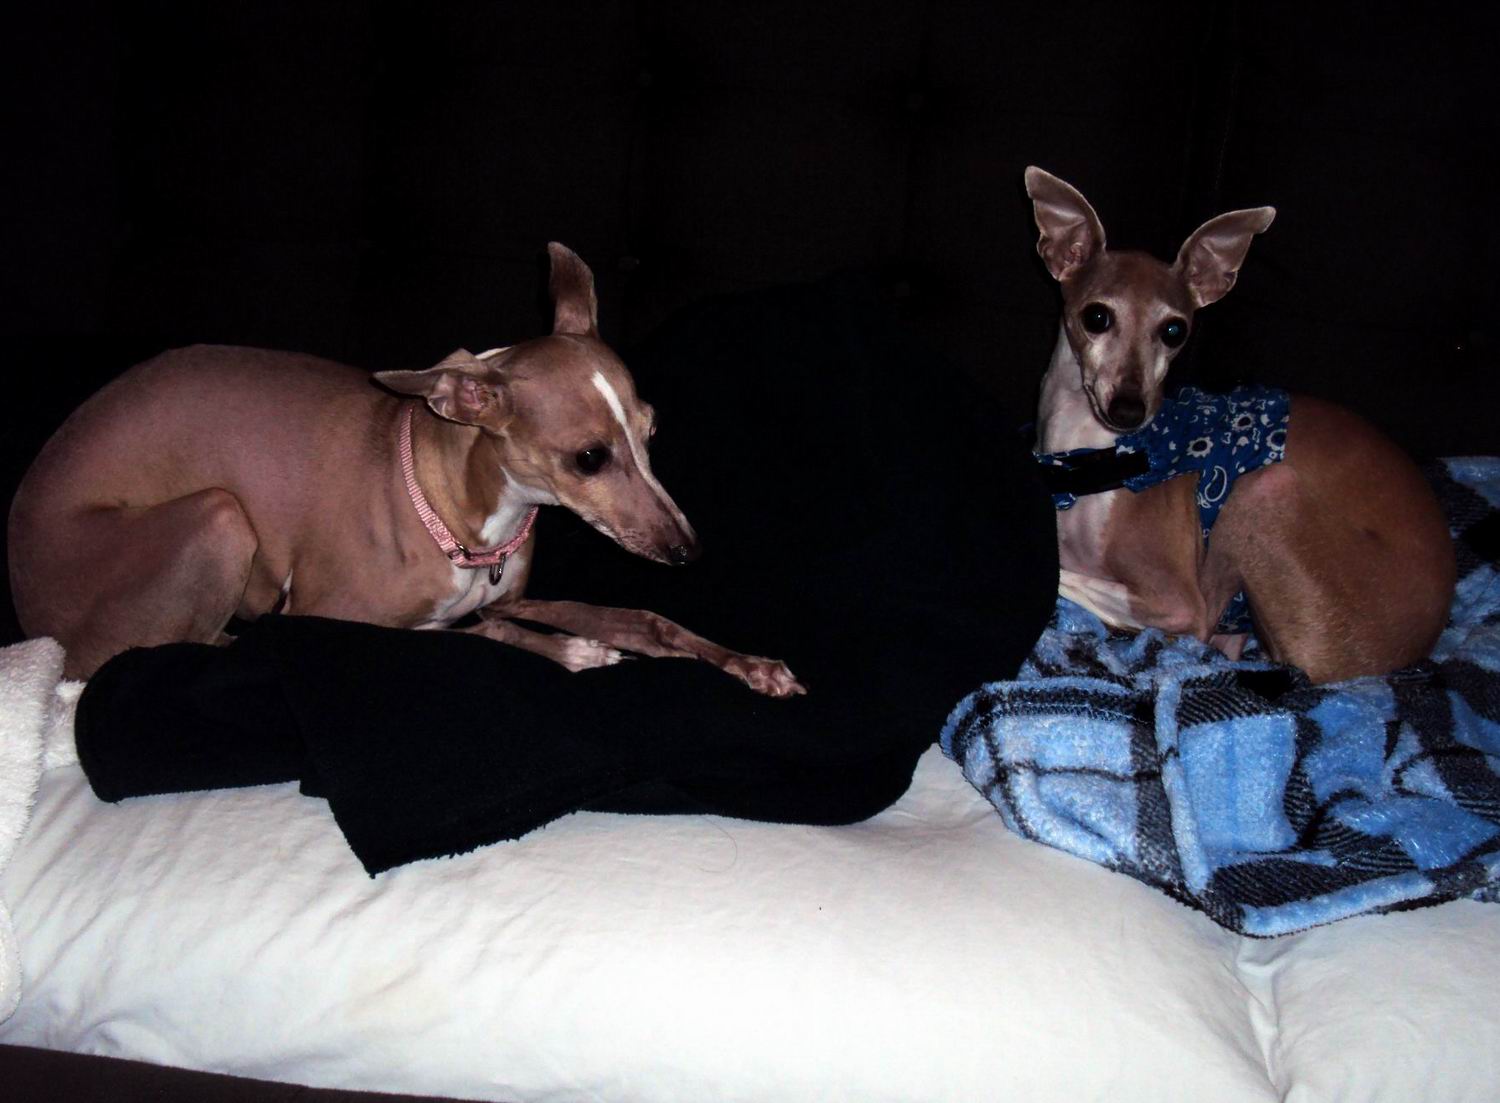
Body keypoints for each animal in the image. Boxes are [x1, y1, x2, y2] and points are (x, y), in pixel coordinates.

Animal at [8, 242, 805, 695]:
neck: (470, 519)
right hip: (219, 517)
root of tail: (32, 613)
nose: (687, 550)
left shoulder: (508, 594)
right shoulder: (325, 616)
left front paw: (749, 664)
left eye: (651, 430)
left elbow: (643, 618)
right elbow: (469, 634)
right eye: (589, 458)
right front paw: (573, 651)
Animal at [1023, 167, 1455, 683]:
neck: (1091, 455)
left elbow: (1068, 576)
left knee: (1209, 623)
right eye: (1097, 316)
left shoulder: (1174, 597)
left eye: (1175, 330)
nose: (1129, 410)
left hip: (1262, 491)